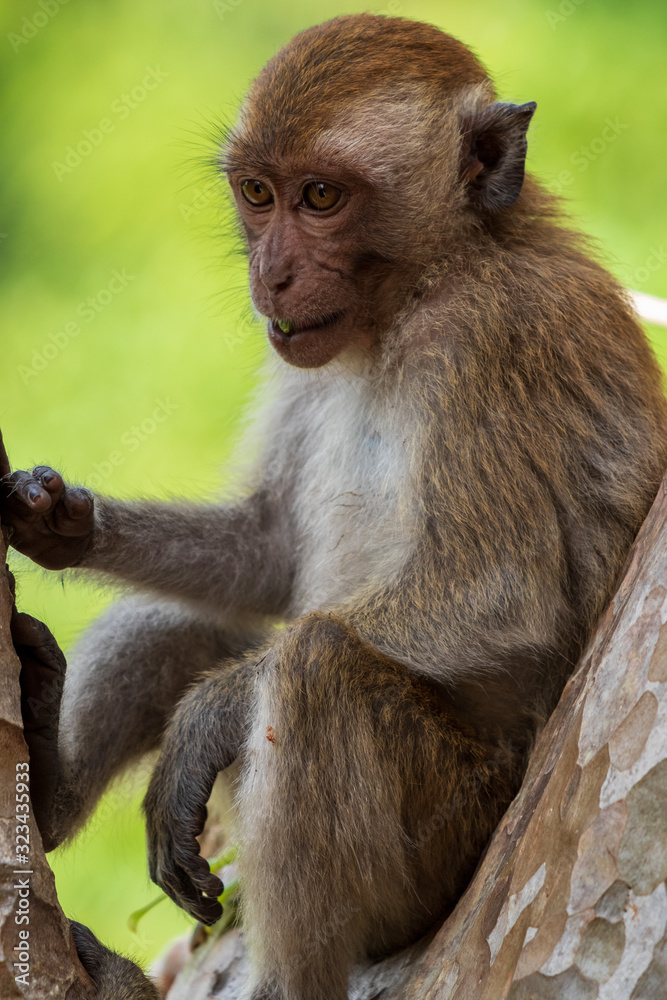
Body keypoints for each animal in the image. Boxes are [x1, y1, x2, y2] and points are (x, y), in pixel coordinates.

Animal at [2, 13, 666, 999]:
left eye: (321, 197)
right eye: (258, 193)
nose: (270, 275)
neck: (424, 285)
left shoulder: (486, 342)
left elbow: (499, 592)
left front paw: (202, 722)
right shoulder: (299, 353)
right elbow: (267, 553)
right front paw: (55, 520)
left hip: (448, 841)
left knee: (313, 669)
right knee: (191, 626)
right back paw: (43, 791)